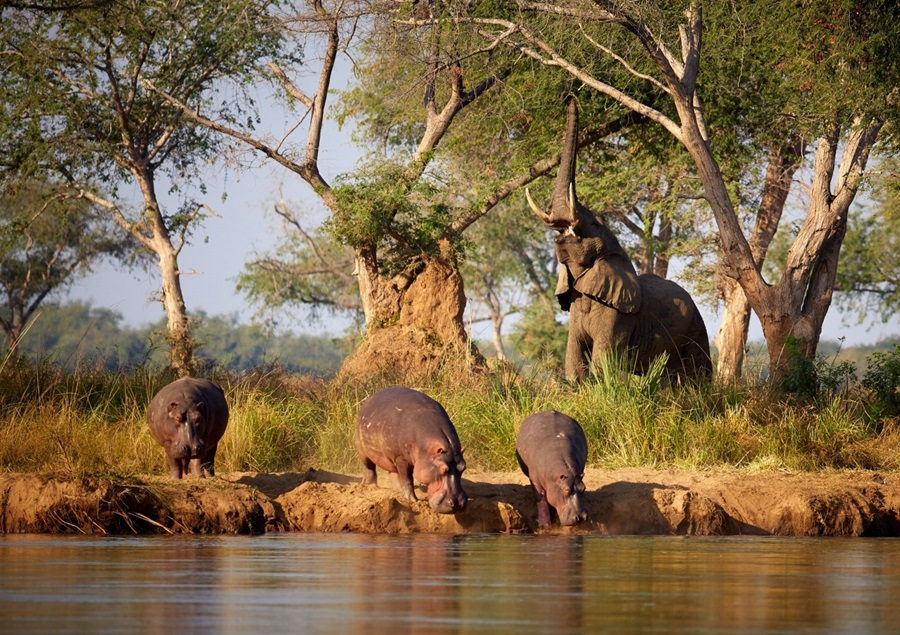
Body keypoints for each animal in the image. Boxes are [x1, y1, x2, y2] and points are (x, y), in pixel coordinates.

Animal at [356, 386, 468, 516]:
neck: (427, 450)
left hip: (389, 458)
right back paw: (370, 486)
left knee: (393, 473)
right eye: (443, 469)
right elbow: (407, 479)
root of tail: (368, 400)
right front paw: (412, 500)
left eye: (463, 468)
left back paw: (396, 490)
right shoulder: (401, 458)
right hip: (364, 452)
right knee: (370, 468)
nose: (458, 504)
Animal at [528, 99, 712, 382]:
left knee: (698, 373)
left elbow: (602, 362)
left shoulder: (619, 315)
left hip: (696, 327)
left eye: (594, 223)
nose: (571, 98)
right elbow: (574, 360)